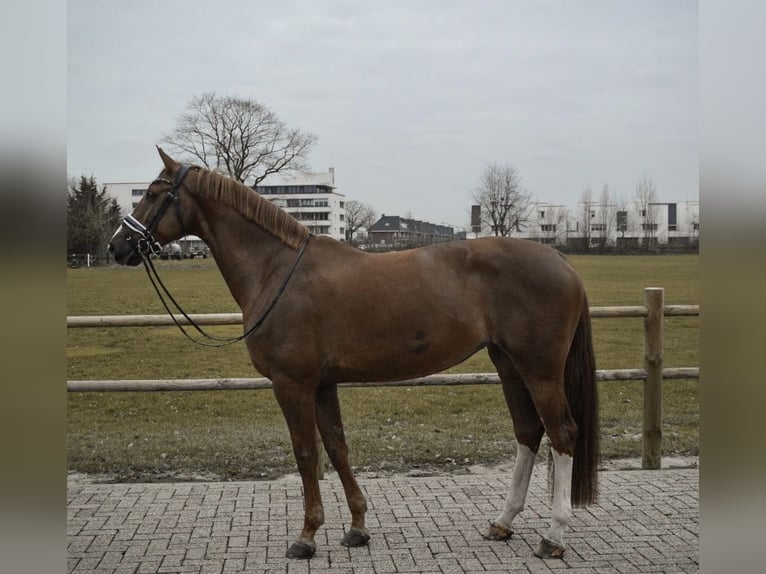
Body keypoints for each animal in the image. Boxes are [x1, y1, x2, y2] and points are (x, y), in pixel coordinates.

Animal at [109, 148, 600, 564]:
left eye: (152, 193)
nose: (117, 246)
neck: (277, 269)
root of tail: (560, 259)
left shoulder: (292, 384)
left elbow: (306, 453)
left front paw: (306, 536)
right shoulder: (323, 384)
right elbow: (337, 448)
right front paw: (357, 527)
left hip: (540, 370)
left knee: (563, 434)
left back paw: (553, 535)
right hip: (509, 365)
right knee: (528, 432)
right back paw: (503, 522)